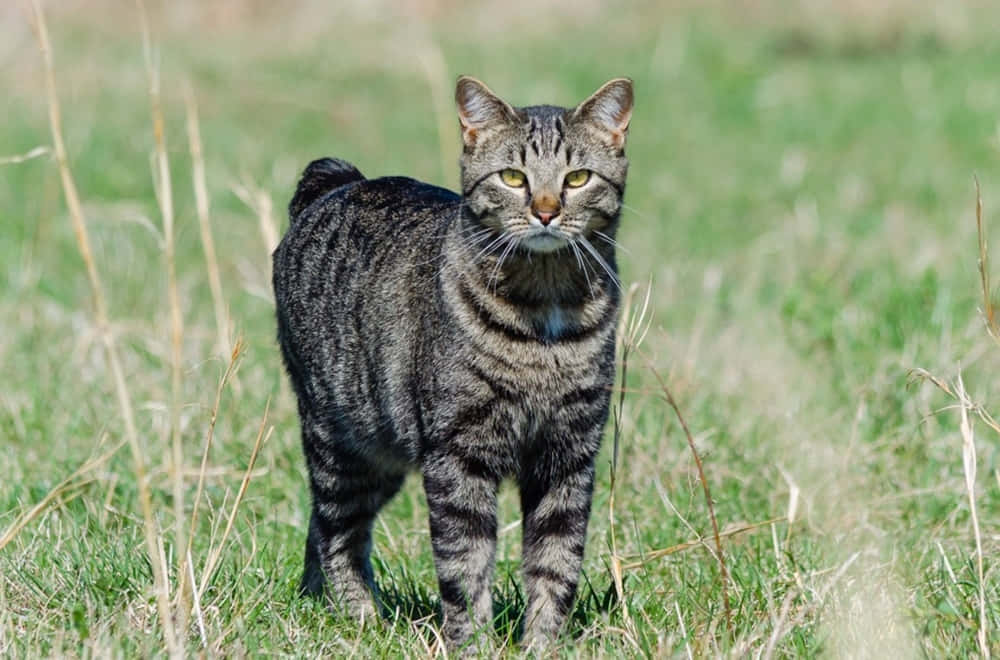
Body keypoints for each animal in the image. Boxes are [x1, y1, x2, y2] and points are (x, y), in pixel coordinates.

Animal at [272, 75, 632, 648]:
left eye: (577, 178)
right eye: (512, 177)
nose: (546, 211)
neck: (545, 314)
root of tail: (339, 181)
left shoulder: (568, 455)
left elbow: (557, 561)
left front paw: (542, 645)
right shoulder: (459, 454)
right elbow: (466, 563)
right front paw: (474, 644)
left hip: (383, 452)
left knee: (318, 525)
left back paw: (320, 604)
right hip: (340, 440)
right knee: (336, 531)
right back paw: (360, 618)